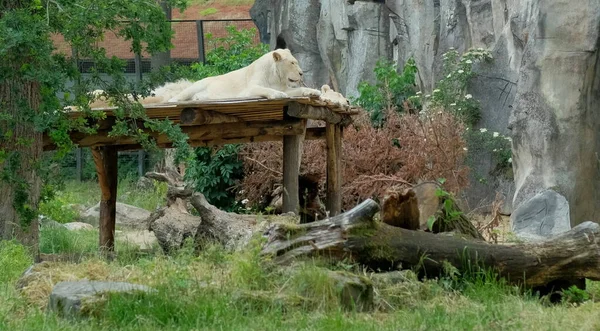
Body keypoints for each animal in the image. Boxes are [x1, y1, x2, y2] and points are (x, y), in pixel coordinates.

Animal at [166, 48, 322, 102]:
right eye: (292, 63)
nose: (301, 73)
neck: (275, 76)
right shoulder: (249, 88)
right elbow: (264, 89)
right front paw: (278, 95)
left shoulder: (283, 85)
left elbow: (298, 89)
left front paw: (314, 92)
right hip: (198, 84)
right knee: (178, 96)